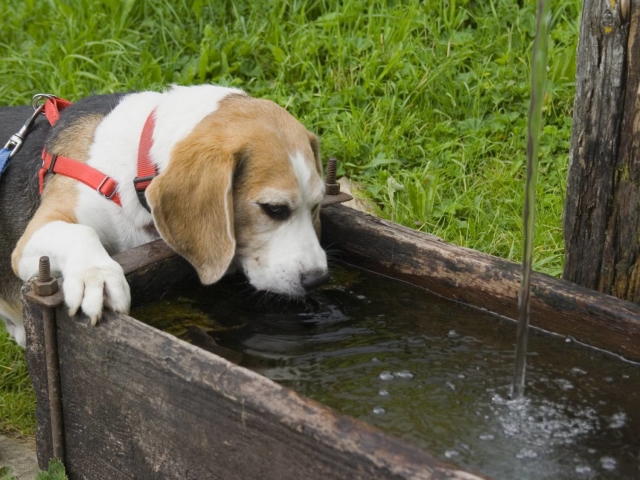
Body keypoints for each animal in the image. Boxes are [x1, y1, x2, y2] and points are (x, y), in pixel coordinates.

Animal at [0, 83, 330, 344]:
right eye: (274, 209)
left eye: (317, 204)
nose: (318, 279)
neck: (134, 168)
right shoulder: (34, 236)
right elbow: (81, 232)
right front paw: (97, 276)